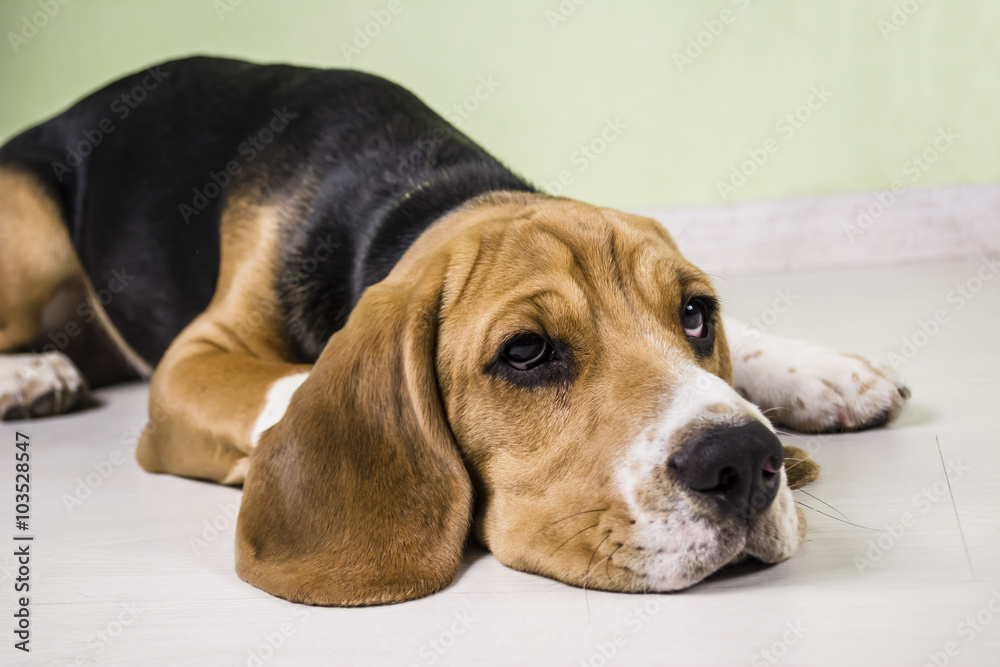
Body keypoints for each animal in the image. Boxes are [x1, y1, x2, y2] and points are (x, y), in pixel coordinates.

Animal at [0, 60, 908, 608]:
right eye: (526, 352)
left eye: (695, 313)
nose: (744, 461)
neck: (420, 189)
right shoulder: (188, 366)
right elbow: (289, 388)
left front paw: (822, 372)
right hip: (33, 231)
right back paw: (32, 376)